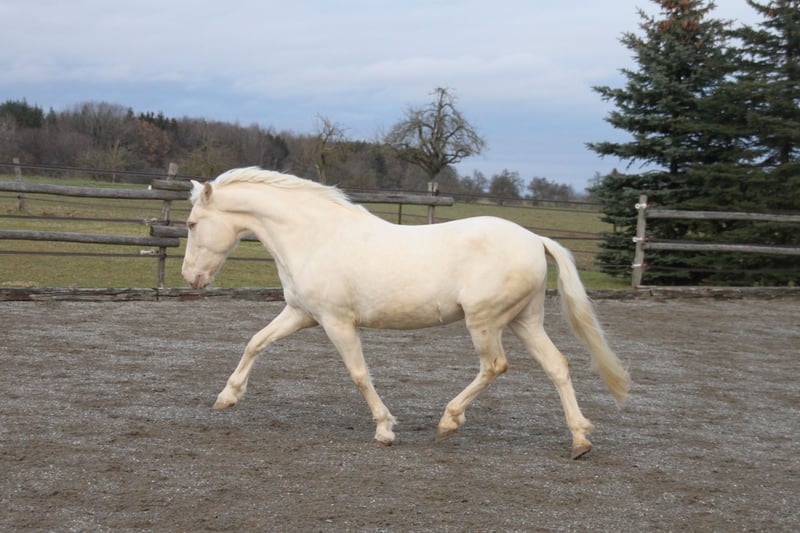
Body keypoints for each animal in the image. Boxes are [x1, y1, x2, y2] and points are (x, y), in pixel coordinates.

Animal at [181, 167, 629, 459]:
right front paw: (227, 397)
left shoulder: (337, 322)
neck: (315, 237)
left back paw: (449, 422)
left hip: (484, 322)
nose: (190, 277)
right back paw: (580, 440)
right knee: (557, 366)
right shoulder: (300, 314)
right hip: (525, 321)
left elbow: (359, 374)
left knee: (495, 366)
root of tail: (535, 239)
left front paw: (385, 430)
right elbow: (255, 343)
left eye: (191, 224)